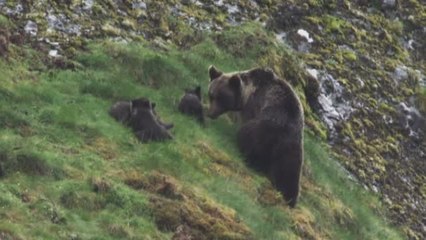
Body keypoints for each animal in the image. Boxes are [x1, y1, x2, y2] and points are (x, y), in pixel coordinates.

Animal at [206, 65, 302, 206]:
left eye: (220, 97)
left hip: (262, 130)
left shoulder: (252, 106)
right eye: (211, 95)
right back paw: (290, 197)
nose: (210, 113)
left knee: (248, 138)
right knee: (289, 174)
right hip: (293, 149)